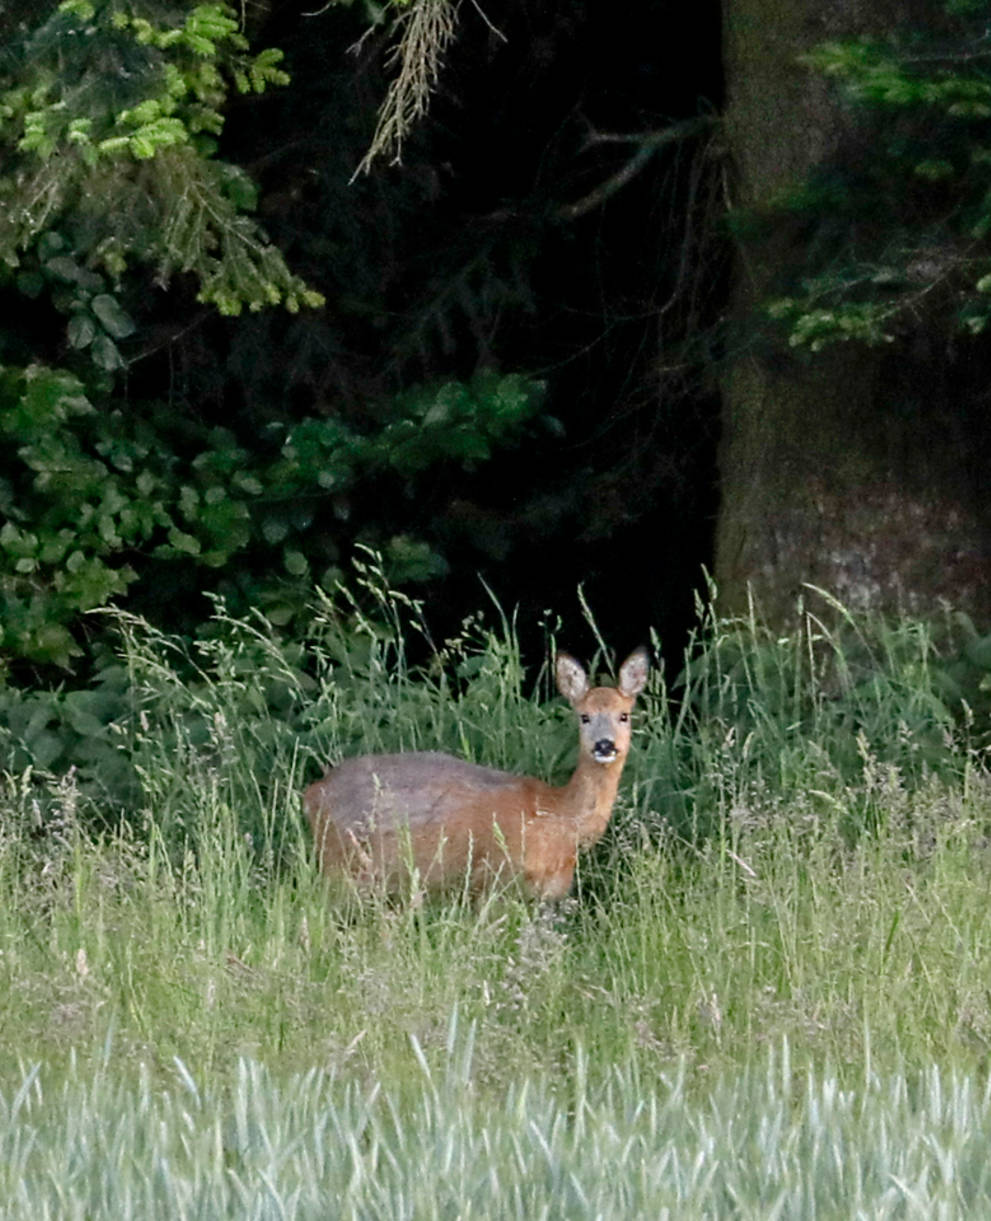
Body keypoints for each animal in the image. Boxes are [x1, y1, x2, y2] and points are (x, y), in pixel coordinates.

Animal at [303, 648, 649, 900]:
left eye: (624, 715)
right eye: (584, 716)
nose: (605, 745)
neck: (560, 818)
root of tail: (313, 792)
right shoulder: (494, 878)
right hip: (343, 864)